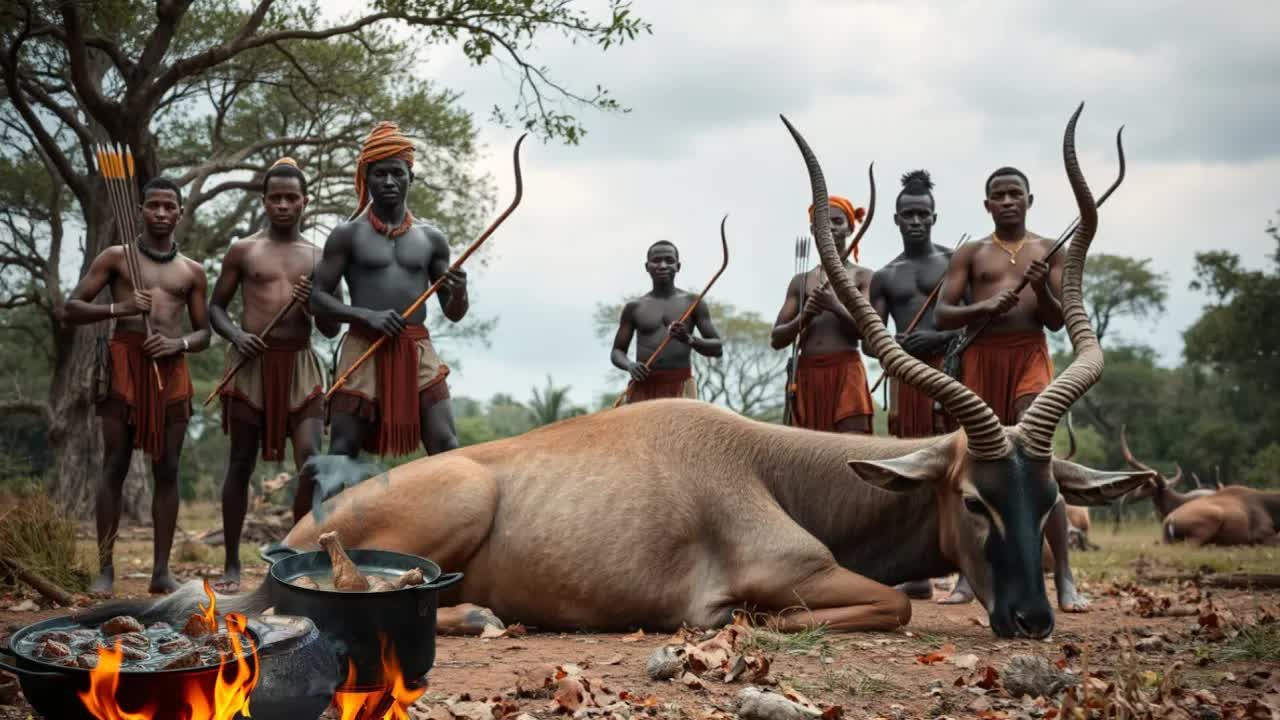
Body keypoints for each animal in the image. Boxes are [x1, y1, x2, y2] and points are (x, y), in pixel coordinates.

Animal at [70, 105, 1152, 638]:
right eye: (972, 498)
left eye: (1049, 500)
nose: (1028, 619)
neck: (769, 463)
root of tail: (302, 529)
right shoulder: (788, 574)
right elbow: (885, 601)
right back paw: (481, 617)